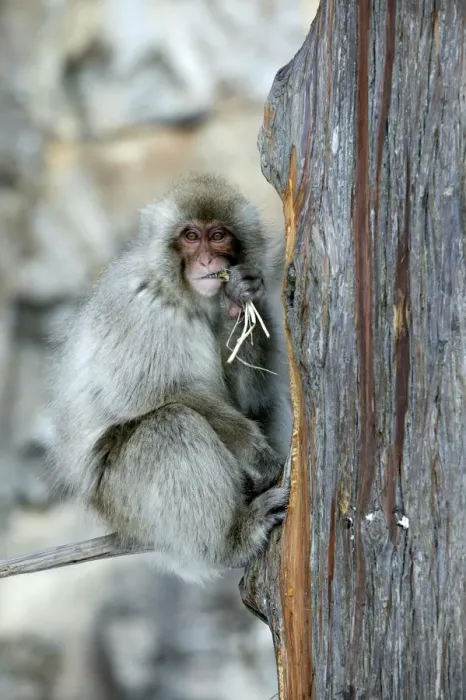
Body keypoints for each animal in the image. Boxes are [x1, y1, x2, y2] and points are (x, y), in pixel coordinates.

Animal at [49, 173, 292, 583]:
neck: (183, 295)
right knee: (171, 425)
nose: (208, 260)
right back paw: (233, 539)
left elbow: (249, 400)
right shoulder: (141, 311)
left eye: (219, 235)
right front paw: (257, 455)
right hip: (125, 501)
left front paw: (238, 297)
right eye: (191, 236)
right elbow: (158, 395)